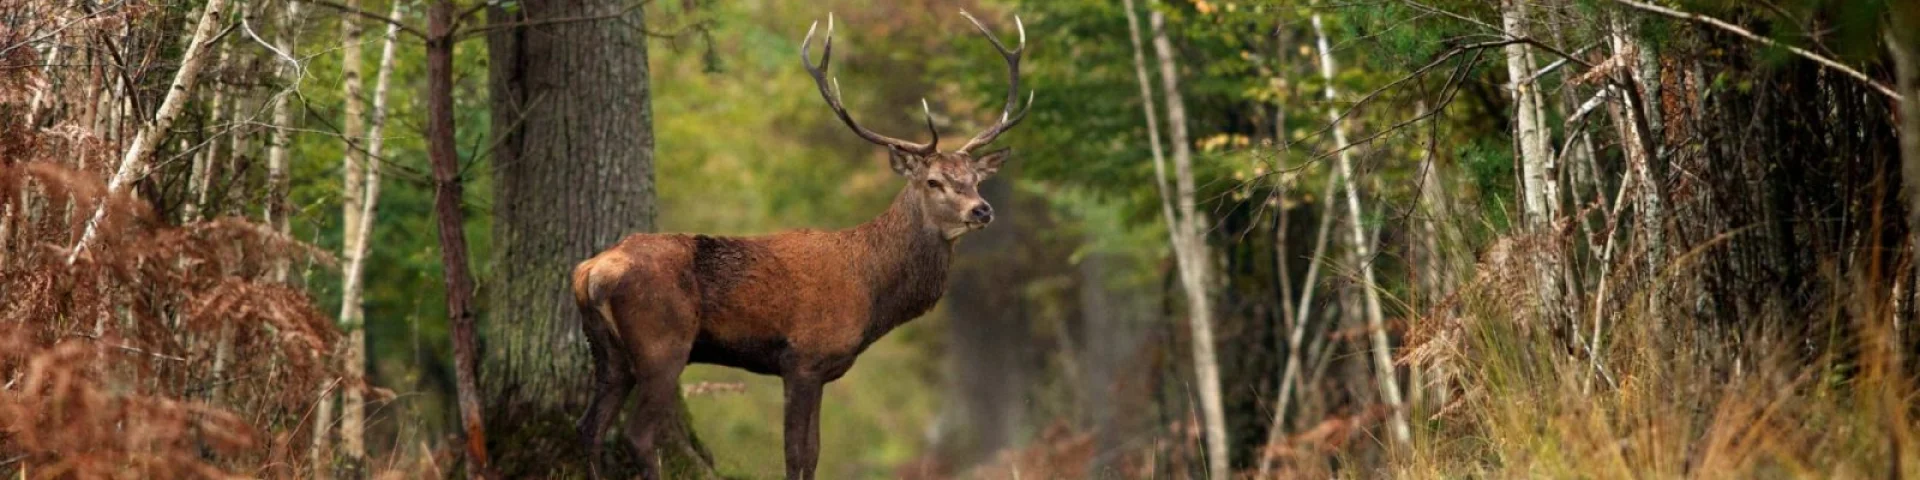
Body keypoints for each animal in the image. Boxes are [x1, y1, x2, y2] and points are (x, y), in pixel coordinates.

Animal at [568, 11, 1030, 480]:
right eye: (934, 181)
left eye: (975, 179)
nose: (982, 210)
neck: (871, 289)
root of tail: (591, 272)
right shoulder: (803, 358)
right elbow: (796, 454)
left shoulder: (821, 370)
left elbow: (813, 453)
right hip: (662, 342)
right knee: (636, 435)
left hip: (607, 351)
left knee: (589, 428)